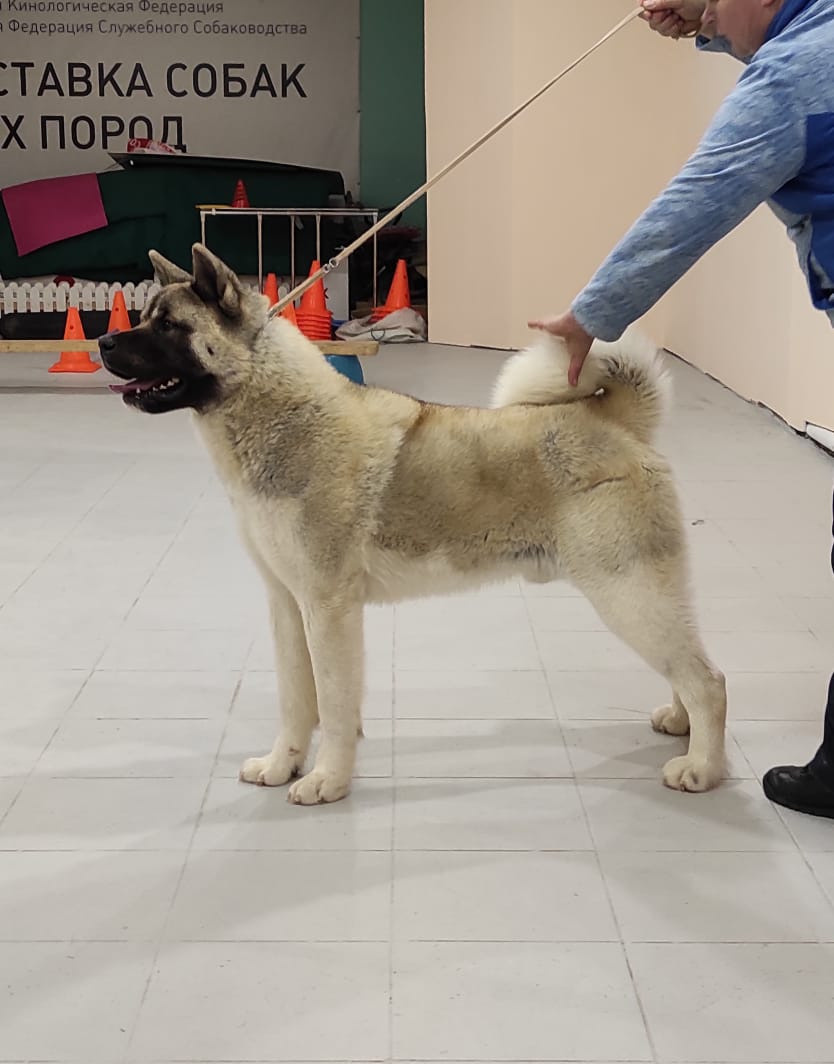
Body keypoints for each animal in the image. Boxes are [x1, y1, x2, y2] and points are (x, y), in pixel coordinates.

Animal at [99, 244, 727, 805]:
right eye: (144, 316)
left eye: (170, 326)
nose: (103, 340)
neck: (281, 415)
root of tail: (614, 421)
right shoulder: (288, 606)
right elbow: (297, 703)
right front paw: (281, 766)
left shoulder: (329, 608)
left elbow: (334, 704)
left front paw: (327, 781)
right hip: (643, 594)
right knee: (688, 667)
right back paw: (681, 726)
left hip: (626, 592)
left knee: (709, 681)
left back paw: (701, 768)